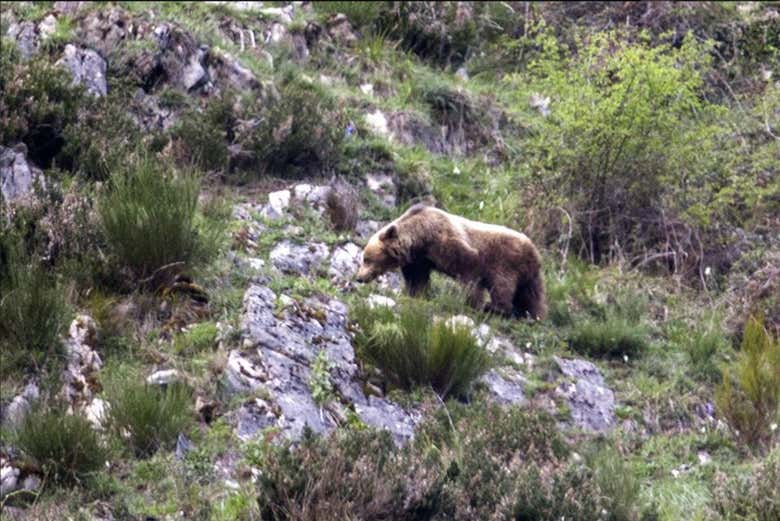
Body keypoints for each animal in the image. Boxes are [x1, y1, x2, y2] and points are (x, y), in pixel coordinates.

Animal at [356, 203, 547, 319]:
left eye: (366, 259)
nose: (359, 277)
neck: (420, 238)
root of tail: (535, 251)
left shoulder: (448, 242)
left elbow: (470, 272)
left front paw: (472, 304)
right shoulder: (419, 259)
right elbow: (417, 279)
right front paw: (417, 294)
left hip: (507, 262)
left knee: (502, 285)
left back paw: (496, 308)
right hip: (530, 274)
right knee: (532, 295)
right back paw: (533, 316)